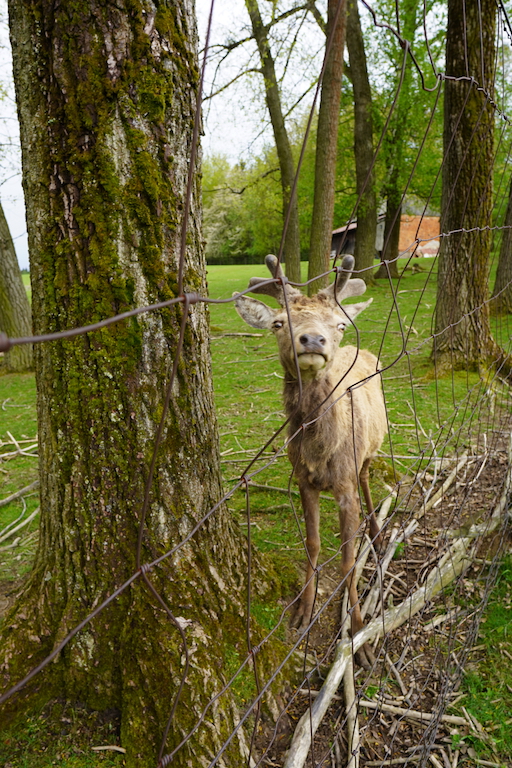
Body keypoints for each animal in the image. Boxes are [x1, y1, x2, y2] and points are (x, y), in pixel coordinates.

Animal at [234, 252, 386, 664]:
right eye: (278, 322)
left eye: (339, 325)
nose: (313, 339)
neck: (322, 453)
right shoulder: (303, 480)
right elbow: (313, 543)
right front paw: (303, 611)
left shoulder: (345, 485)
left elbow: (349, 561)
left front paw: (359, 634)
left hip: (373, 445)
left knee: (368, 477)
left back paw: (377, 534)